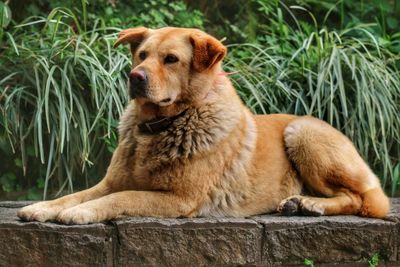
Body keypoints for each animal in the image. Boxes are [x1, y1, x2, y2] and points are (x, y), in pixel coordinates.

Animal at [17, 27, 390, 225]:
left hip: (301, 133)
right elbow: (75, 194)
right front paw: (42, 207)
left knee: (364, 200)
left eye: (171, 59)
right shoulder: (109, 182)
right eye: (142, 55)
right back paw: (299, 203)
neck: (163, 124)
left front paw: (80, 213)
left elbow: (120, 197)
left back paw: (313, 204)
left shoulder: (180, 199)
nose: (135, 77)